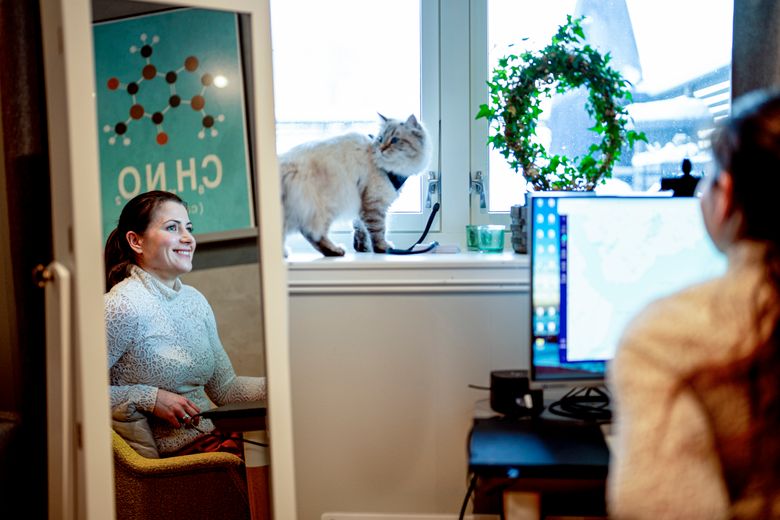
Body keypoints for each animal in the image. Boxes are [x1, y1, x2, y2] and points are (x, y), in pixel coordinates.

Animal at [278, 114, 432, 256]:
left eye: (394, 140)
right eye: (380, 139)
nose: (382, 149)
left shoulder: (363, 204)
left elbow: (360, 229)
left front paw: (363, 249)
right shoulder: (374, 203)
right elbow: (378, 229)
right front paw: (382, 248)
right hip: (327, 206)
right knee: (313, 234)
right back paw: (335, 250)